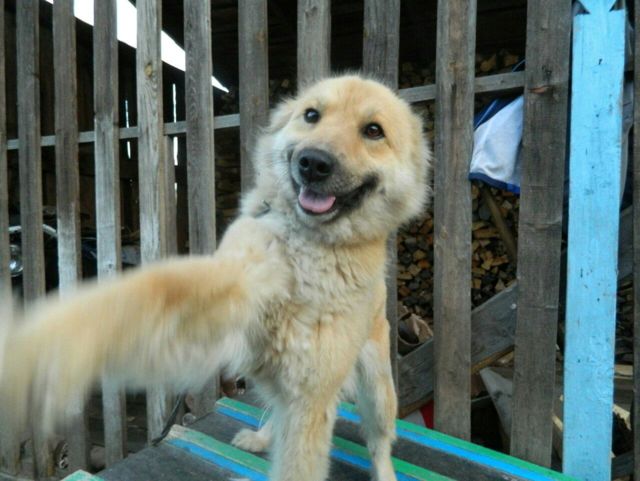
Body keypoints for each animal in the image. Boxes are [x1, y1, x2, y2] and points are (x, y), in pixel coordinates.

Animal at [0, 75, 431, 481]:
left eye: (373, 130)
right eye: (312, 115)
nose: (313, 162)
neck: (301, 250)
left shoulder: (310, 399)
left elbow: (299, 465)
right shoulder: (223, 298)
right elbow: (149, 289)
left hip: (377, 391)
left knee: (378, 441)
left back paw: (383, 472)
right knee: (276, 412)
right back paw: (260, 438)